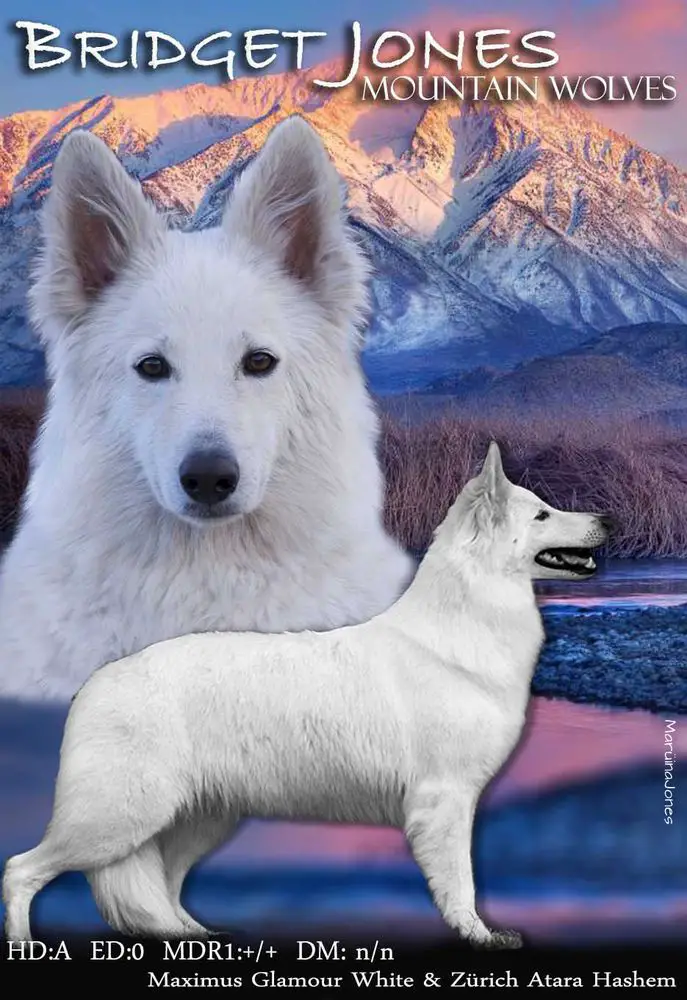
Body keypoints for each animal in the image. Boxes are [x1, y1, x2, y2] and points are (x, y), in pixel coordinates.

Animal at [3, 442, 612, 946]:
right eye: (542, 514)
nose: (606, 518)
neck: (465, 624)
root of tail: (95, 683)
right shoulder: (446, 801)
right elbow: (461, 881)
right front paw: (478, 934)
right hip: (117, 816)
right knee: (20, 870)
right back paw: (24, 943)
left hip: (192, 821)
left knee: (164, 889)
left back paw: (197, 934)